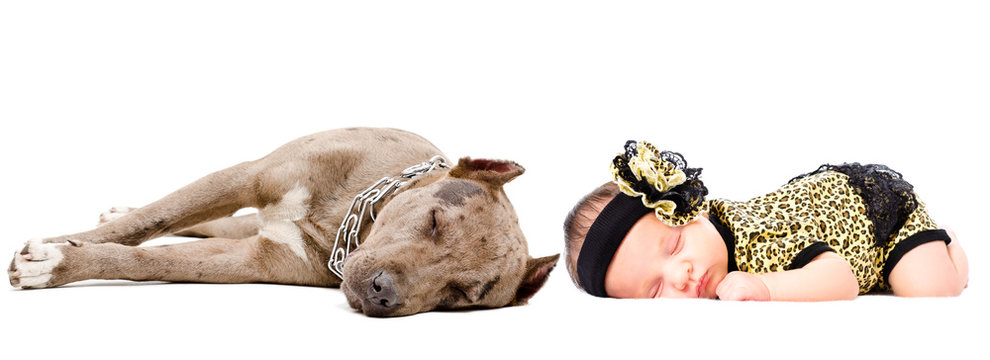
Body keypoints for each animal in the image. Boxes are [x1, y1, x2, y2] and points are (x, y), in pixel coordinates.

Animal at [7, 128, 560, 316]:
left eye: (461, 295)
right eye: (434, 221)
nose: (383, 293)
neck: (345, 219)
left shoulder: (254, 259)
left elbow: (149, 261)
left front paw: (61, 260)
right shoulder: (247, 175)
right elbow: (151, 220)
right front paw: (60, 247)